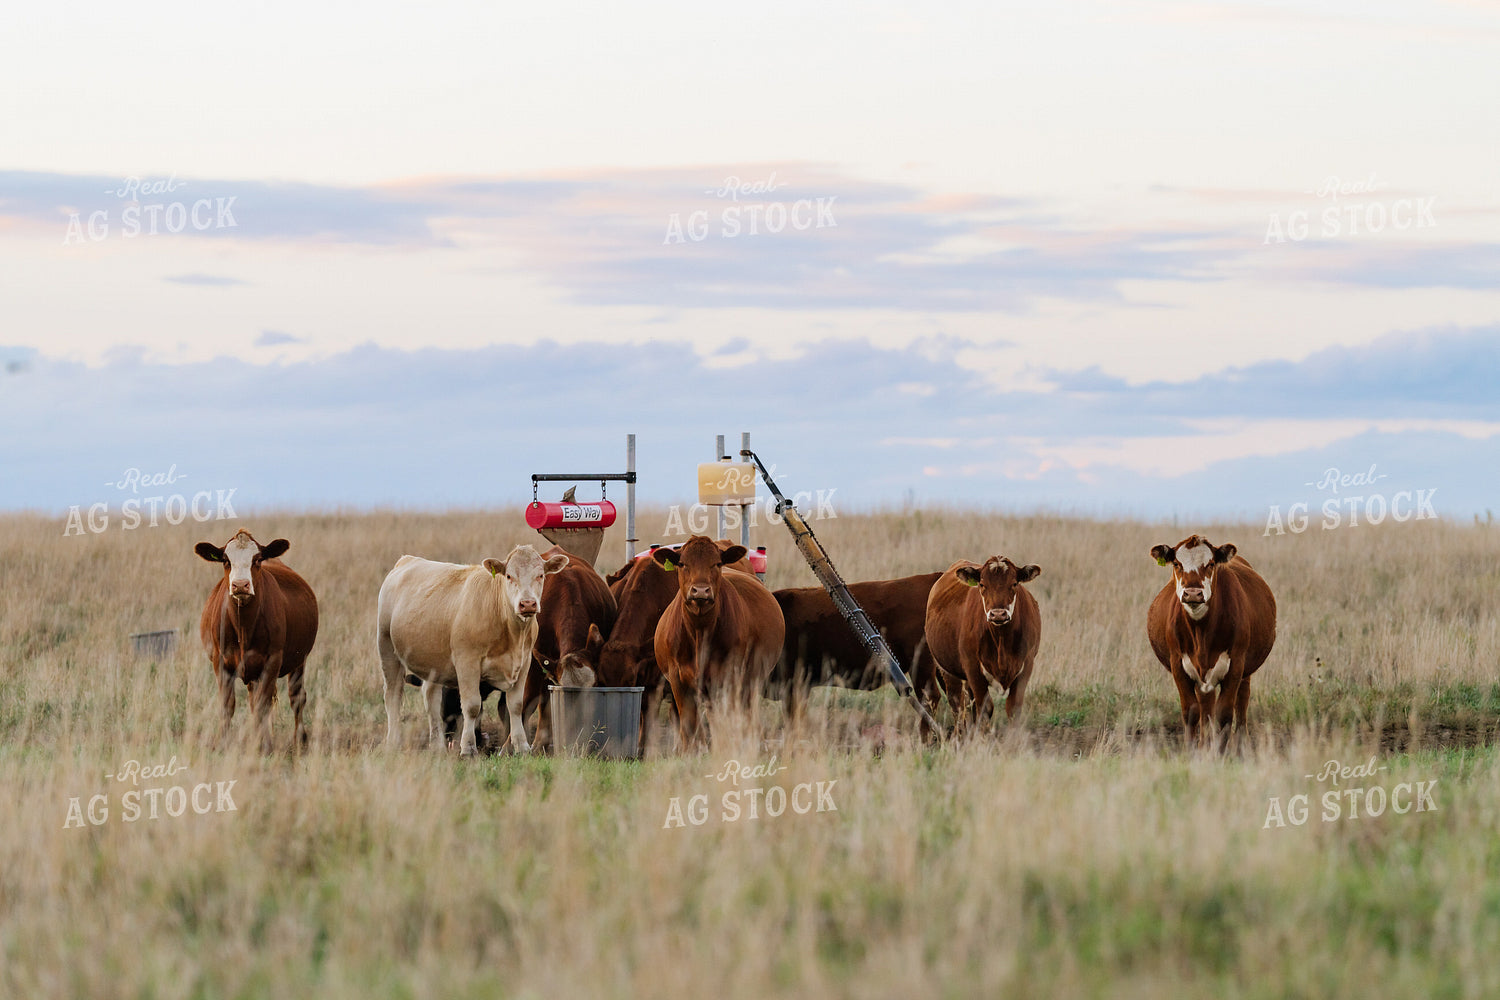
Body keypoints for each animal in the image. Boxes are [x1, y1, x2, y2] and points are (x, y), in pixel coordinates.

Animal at [195, 529, 319, 752]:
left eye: (257, 559)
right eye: (225, 560)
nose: (240, 585)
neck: (244, 627)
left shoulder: (273, 661)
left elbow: (264, 704)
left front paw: (265, 745)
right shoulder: (220, 662)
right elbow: (227, 705)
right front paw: (224, 743)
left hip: (299, 660)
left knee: (296, 697)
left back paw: (300, 739)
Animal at [377, 544, 568, 756]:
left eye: (541, 575)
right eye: (509, 576)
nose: (527, 603)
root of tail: (407, 560)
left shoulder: (524, 662)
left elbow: (516, 705)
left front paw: (522, 746)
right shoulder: (467, 662)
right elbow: (471, 706)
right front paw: (468, 747)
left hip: (434, 663)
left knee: (431, 698)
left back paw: (437, 745)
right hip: (387, 648)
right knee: (393, 695)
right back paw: (393, 742)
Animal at [652, 535, 785, 749]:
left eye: (717, 563)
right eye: (682, 564)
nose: (700, 591)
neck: (699, 633)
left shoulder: (727, 677)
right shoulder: (678, 681)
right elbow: (689, 728)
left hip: (750, 681)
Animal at [923, 556, 1042, 731]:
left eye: (1014, 583)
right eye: (982, 584)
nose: (998, 614)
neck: (1001, 641)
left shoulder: (1026, 666)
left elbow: (1013, 708)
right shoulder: (973, 668)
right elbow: (985, 708)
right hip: (947, 669)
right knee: (957, 704)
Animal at [1147, 534, 1276, 750]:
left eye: (1211, 564)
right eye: (1177, 563)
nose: (1192, 593)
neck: (1201, 633)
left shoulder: (1236, 664)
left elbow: (1224, 713)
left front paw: (1220, 751)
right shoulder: (1178, 665)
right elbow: (1191, 711)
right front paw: (1192, 750)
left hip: (1245, 670)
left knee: (1242, 700)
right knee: (1205, 706)